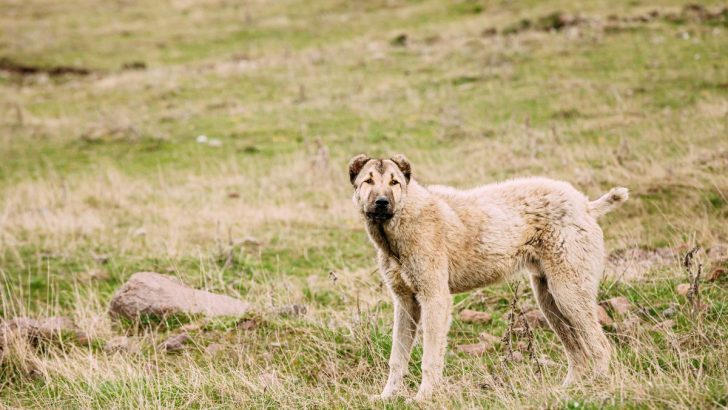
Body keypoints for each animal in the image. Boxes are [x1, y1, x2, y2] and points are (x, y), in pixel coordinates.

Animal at [350, 154, 628, 400]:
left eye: (394, 182)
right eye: (368, 181)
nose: (382, 202)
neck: (402, 220)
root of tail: (586, 205)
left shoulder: (435, 299)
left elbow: (430, 358)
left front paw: (423, 398)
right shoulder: (405, 303)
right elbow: (397, 358)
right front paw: (387, 397)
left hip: (569, 293)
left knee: (600, 346)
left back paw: (597, 388)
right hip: (549, 300)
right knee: (578, 352)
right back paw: (566, 392)